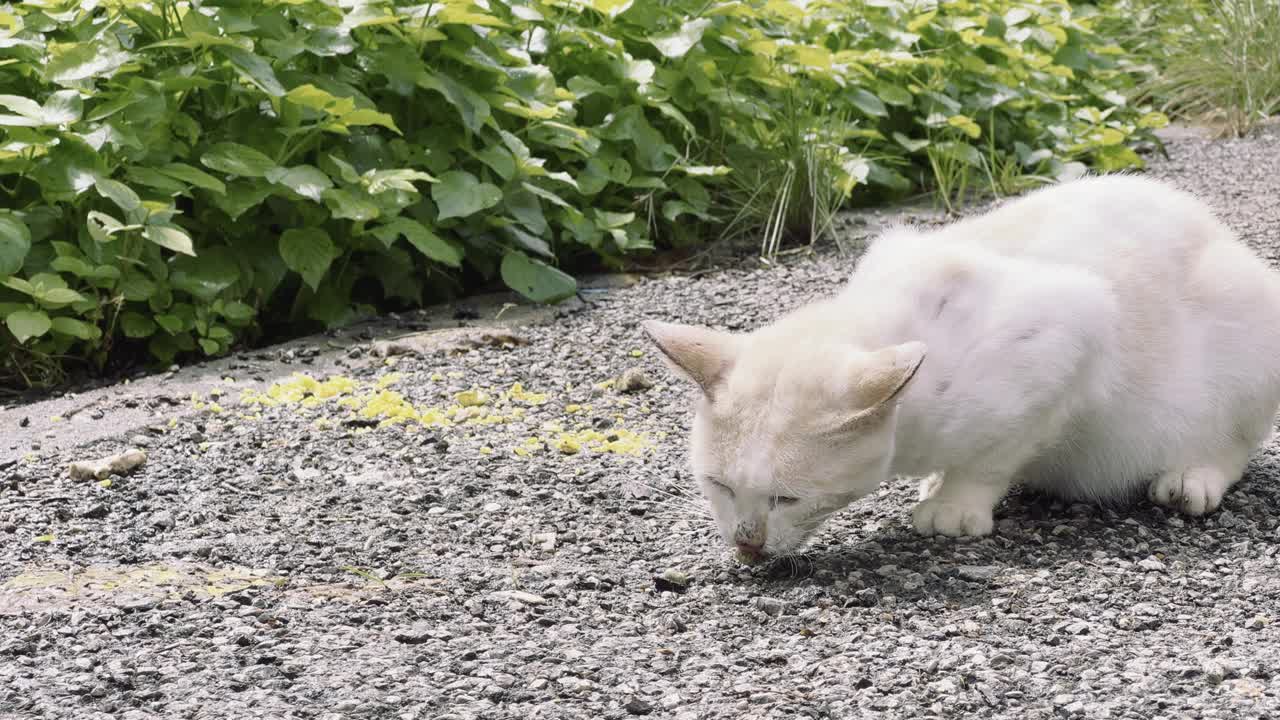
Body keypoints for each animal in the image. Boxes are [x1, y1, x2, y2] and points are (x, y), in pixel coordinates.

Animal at [645, 175, 1280, 566]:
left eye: (787, 499)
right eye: (719, 486)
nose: (747, 544)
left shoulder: (1071, 336)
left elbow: (992, 457)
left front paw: (953, 506)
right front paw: (935, 483)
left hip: (1248, 340)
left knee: (1233, 445)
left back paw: (1192, 479)